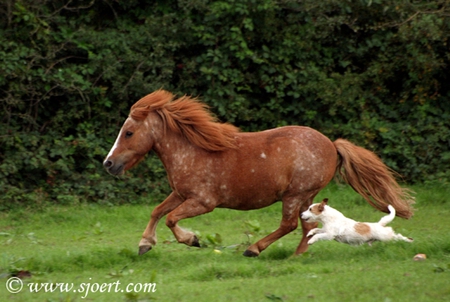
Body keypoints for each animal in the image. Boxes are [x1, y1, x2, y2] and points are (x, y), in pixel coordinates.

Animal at [103, 90, 414, 258]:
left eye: (128, 132)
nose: (108, 163)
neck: (192, 150)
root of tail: (332, 145)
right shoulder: (180, 193)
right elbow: (157, 211)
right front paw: (145, 244)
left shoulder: (203, 202)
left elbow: (170, 219)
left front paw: (192, 240)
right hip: (305, 199)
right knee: (306, 227)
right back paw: (297, 257)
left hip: (295, 194)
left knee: (289, 225)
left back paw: (254, 249)